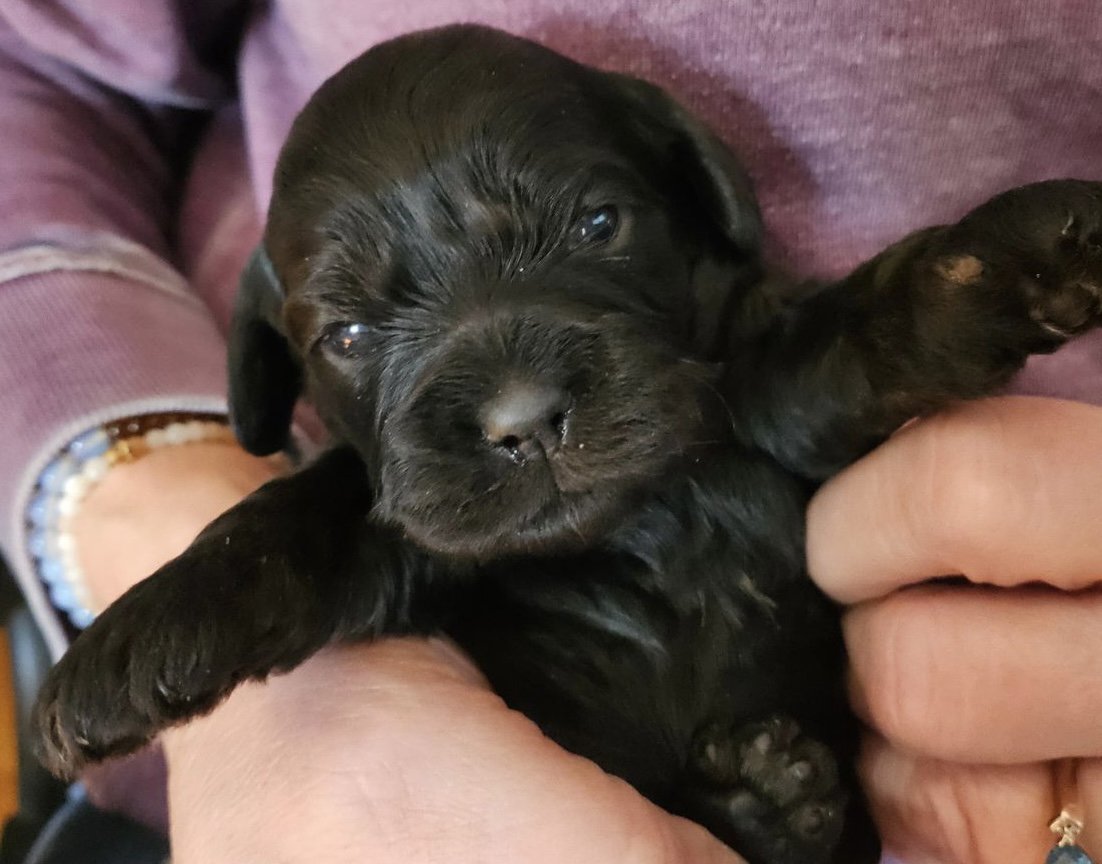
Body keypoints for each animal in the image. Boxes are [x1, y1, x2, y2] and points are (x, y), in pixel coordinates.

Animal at [32, 23, 1102, 859]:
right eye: (349, 336)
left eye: (599, 224)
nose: (523, 420)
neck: (630, 526)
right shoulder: (420, 529)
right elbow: (305, 509)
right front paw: (126, 651)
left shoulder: (767, 380)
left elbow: (879, 317)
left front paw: (1025, 250)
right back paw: (766, 797)